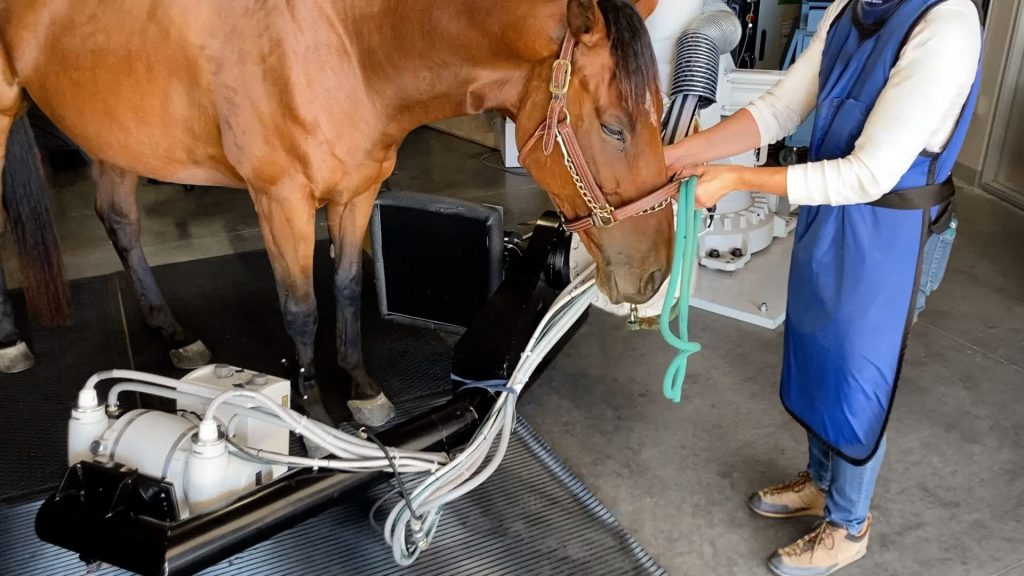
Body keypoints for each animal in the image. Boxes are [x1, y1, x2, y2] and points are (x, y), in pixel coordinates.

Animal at [0, 0, 671, 422]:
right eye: (613, 127)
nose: (655, 275)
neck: (350, 48)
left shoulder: (356, 192)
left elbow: (347, 287)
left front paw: (362, 388)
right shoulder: (281, 201)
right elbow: (301, 308)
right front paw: (312, 404)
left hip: (116, 133)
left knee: (121, 222)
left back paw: (174, 333)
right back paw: (11, 342)